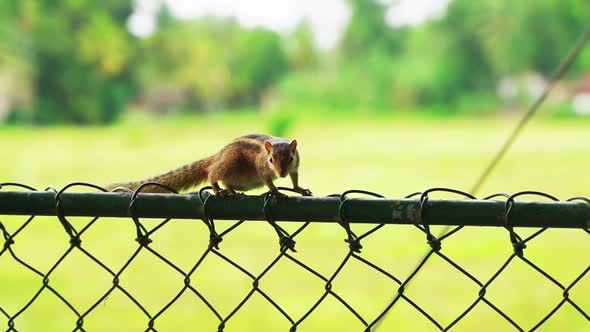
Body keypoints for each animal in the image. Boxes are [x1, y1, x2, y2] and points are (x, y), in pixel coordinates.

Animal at [106, 134, 312, 198]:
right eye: (270, 160)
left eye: (290, 158)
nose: (281, 173)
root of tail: (217, 156)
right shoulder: (262, 169)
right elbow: (268, 182)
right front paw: (278, 193)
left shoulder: (295, 168)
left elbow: (295, 180)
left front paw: (300, 189)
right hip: (229, 163)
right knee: (213, 173)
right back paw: (218, 189)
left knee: (226, 181)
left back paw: (232, 191)